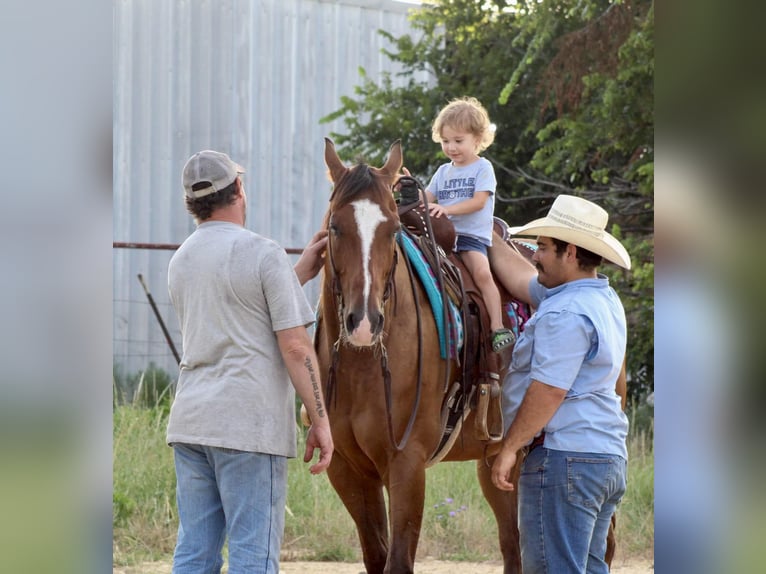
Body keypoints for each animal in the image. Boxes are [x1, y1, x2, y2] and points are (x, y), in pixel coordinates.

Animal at [316, 141, 520, 574]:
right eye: (335, 226)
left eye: (392, 229)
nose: (364, 322)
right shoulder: (347, 469)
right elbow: (376, 556)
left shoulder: (406, 463)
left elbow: (398, 560)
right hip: (498, 462)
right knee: (514, 544)